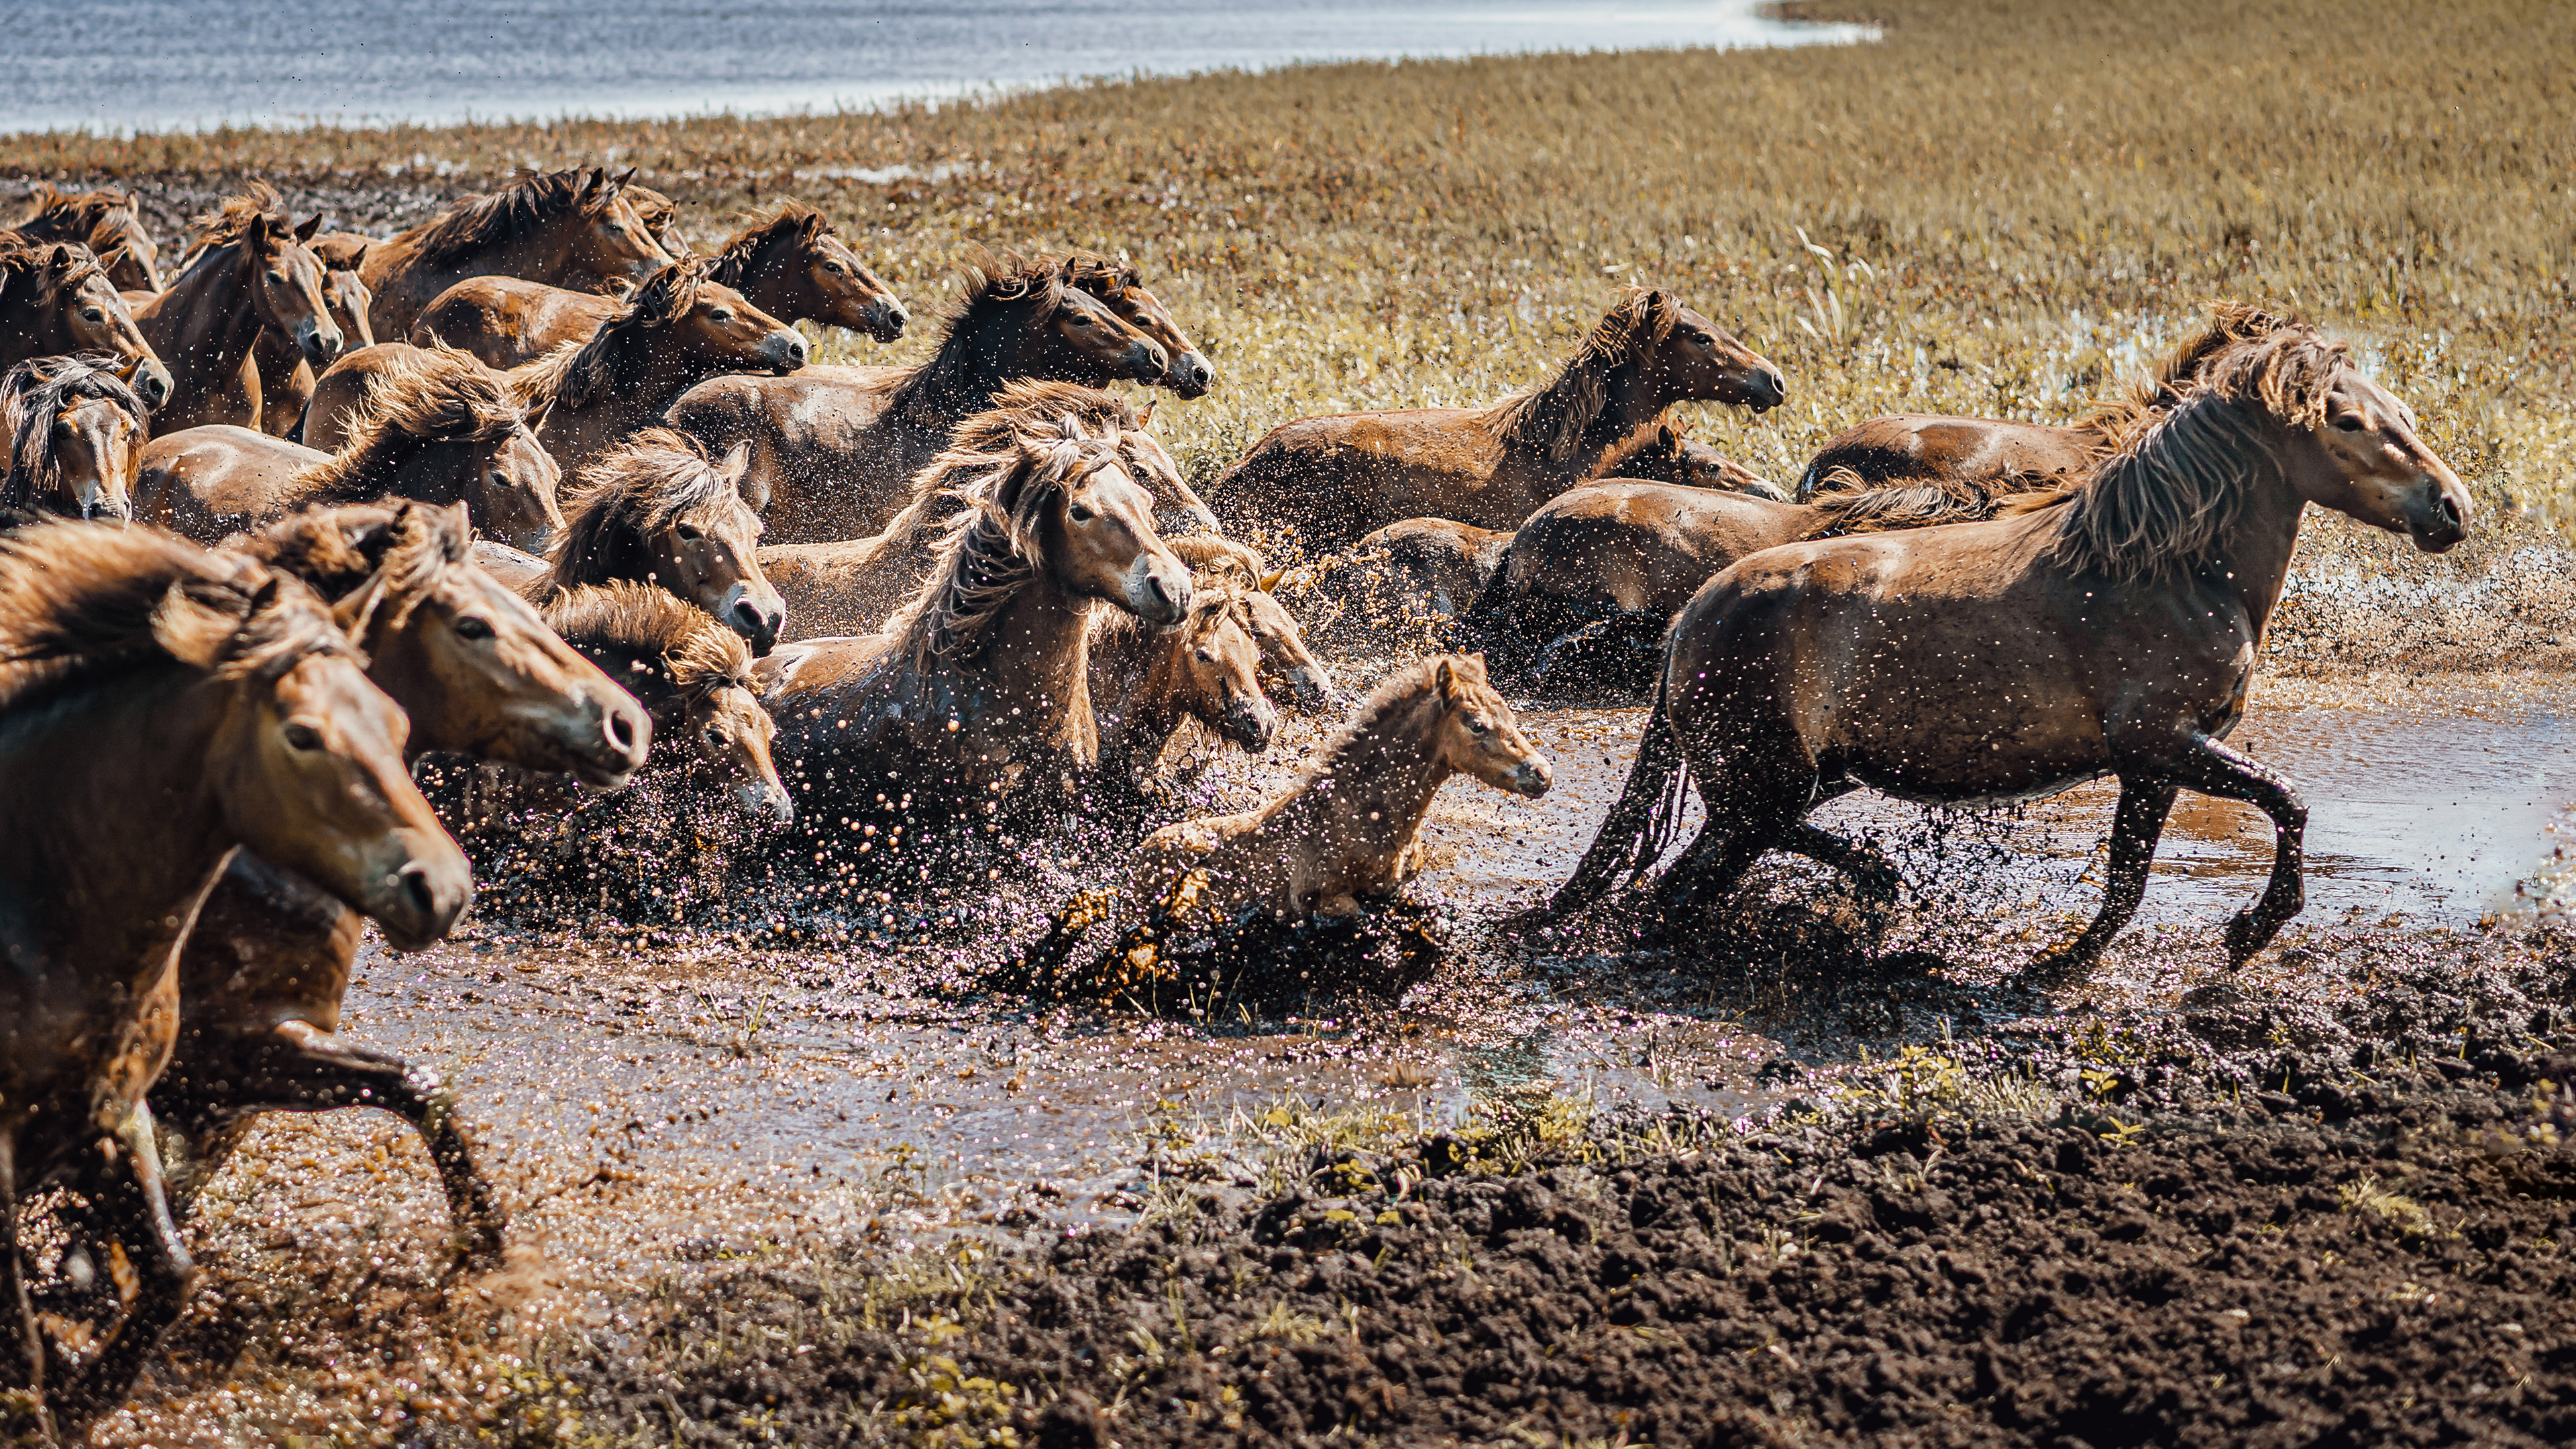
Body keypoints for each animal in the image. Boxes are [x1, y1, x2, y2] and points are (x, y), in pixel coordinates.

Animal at [0, 523, 469, 1440]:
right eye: (302, 735)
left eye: (394, 721)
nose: (440, 885)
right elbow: (21, 1346)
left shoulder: (111, 1118)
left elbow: (170, 1278)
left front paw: (82, 1395)